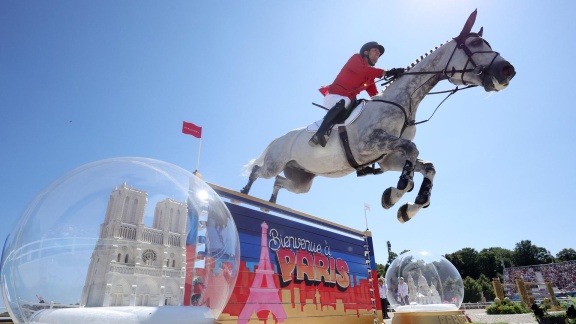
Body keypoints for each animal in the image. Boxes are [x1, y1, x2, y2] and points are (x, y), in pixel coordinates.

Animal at [241, 10, 516, 223]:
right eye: (476, 45)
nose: (508, 70)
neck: (405, 102)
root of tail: (278, 139)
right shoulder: (370, 145)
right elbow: (412, 153)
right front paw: (395, 195)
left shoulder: (388, 158)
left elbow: (427, 166)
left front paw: (411, 208)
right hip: (276, 162)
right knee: (258, 171)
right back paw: (245, 192)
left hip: (302, 181)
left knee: (278, 182)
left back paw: (269, 204)